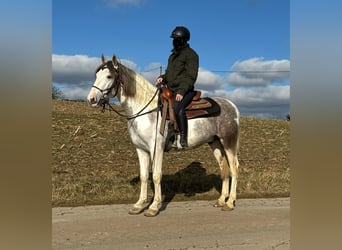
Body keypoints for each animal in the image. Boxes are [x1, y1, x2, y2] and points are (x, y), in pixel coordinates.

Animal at [87, 54, 239, 217]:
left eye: (109, 76)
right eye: (96, 75)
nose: (91, 99)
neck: (146, 111)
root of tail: (232, 106)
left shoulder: (156, 148)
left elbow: (156, 175)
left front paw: (154, 207)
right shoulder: (141, 150)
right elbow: (144, 176)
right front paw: (139, 205)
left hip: (228, 142)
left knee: (234, 168)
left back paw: (230, 203)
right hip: (215, 143)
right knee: (224, 168)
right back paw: (221, 200)